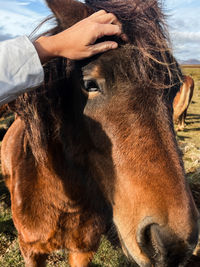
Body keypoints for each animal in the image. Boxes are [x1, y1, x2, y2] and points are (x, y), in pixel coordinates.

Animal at [0, 0, 199, 267]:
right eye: (89, 84)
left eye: (174, 86)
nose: (173, 245)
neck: (65, 201)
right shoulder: (31, 251)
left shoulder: (83, 250)